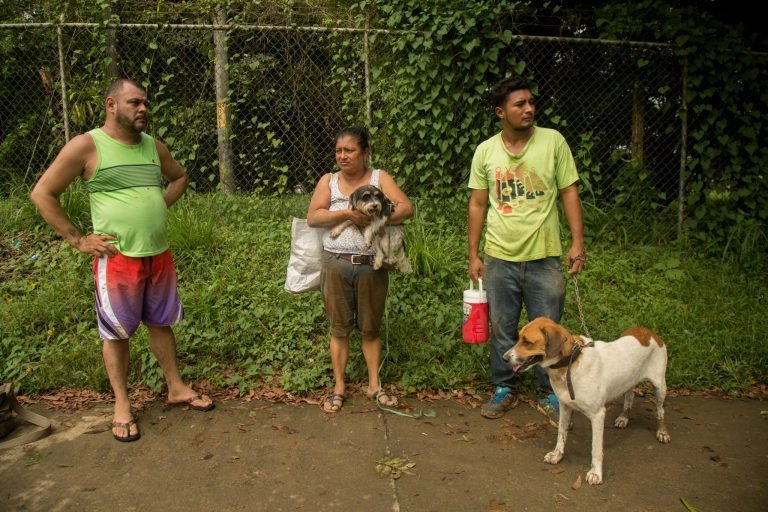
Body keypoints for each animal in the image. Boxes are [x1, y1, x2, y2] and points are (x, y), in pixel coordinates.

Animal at [504, 318, 664, 486]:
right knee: (630, 396)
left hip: (660, 387)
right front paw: (557, 455)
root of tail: (648, 332)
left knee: (660, 412)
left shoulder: (598, 415)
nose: (504, 358)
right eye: (518, 338)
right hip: (629, 381)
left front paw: (596, 473)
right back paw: (623, 418)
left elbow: (596, 449)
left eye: (527, 342)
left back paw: (662, 432)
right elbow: (561, 434)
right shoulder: (564, 407)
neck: (570, 362)